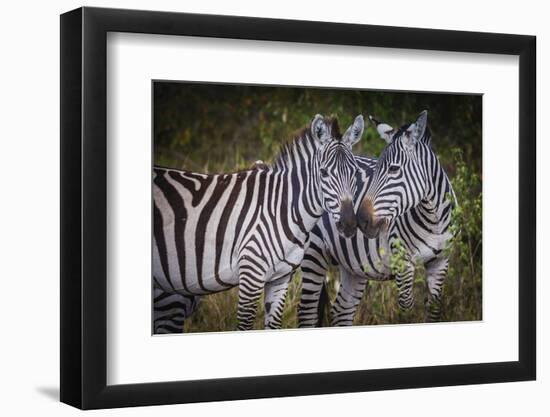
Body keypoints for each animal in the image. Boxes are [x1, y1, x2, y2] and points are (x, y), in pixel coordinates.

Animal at [154, 114, 366, 328]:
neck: (282, 209)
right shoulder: (251, 275)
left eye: (356, 172)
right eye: (323, 173)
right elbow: (245, 325)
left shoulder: (280, 279)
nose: (349, 224)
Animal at [300, 110, 454, 324]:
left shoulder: (440, 262)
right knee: (307, 312)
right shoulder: (402, 262)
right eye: (377, 168)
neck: (433, 220)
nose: (361, 221)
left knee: (341, 310)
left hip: (353, 266)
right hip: (314, 253)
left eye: (394, 169)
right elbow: (407, 307)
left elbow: (433, 310)